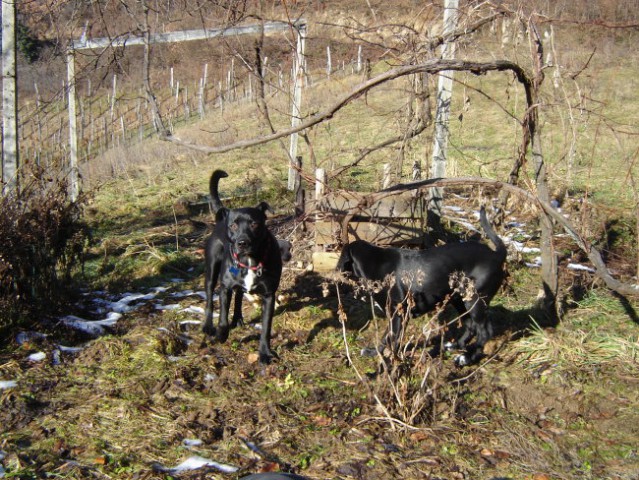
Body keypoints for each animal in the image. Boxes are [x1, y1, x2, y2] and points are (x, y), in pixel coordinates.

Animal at [204, 171, 284, 362]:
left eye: (254, 224)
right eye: (233, 225)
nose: (242, 243)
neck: (249, 261)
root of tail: (221, 218)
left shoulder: (269, 295)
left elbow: (266, 327)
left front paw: (265, 353)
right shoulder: (225, 287)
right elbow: (222, 319)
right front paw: (221, 334)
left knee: (240, 294)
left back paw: (238, 318)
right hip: (211, 271)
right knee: (210, 297)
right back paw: (209, 326)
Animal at [338, 207, 508, 368]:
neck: (376, 262)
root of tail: (496, 255)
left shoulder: (398, 314)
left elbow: (392, 339)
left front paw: (388, 362)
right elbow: (387, 337)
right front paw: (374, 353)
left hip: (474, 299)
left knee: (485, 332)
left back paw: (466, 358)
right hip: (459, 299)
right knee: (470, 326)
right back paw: (455, 346)